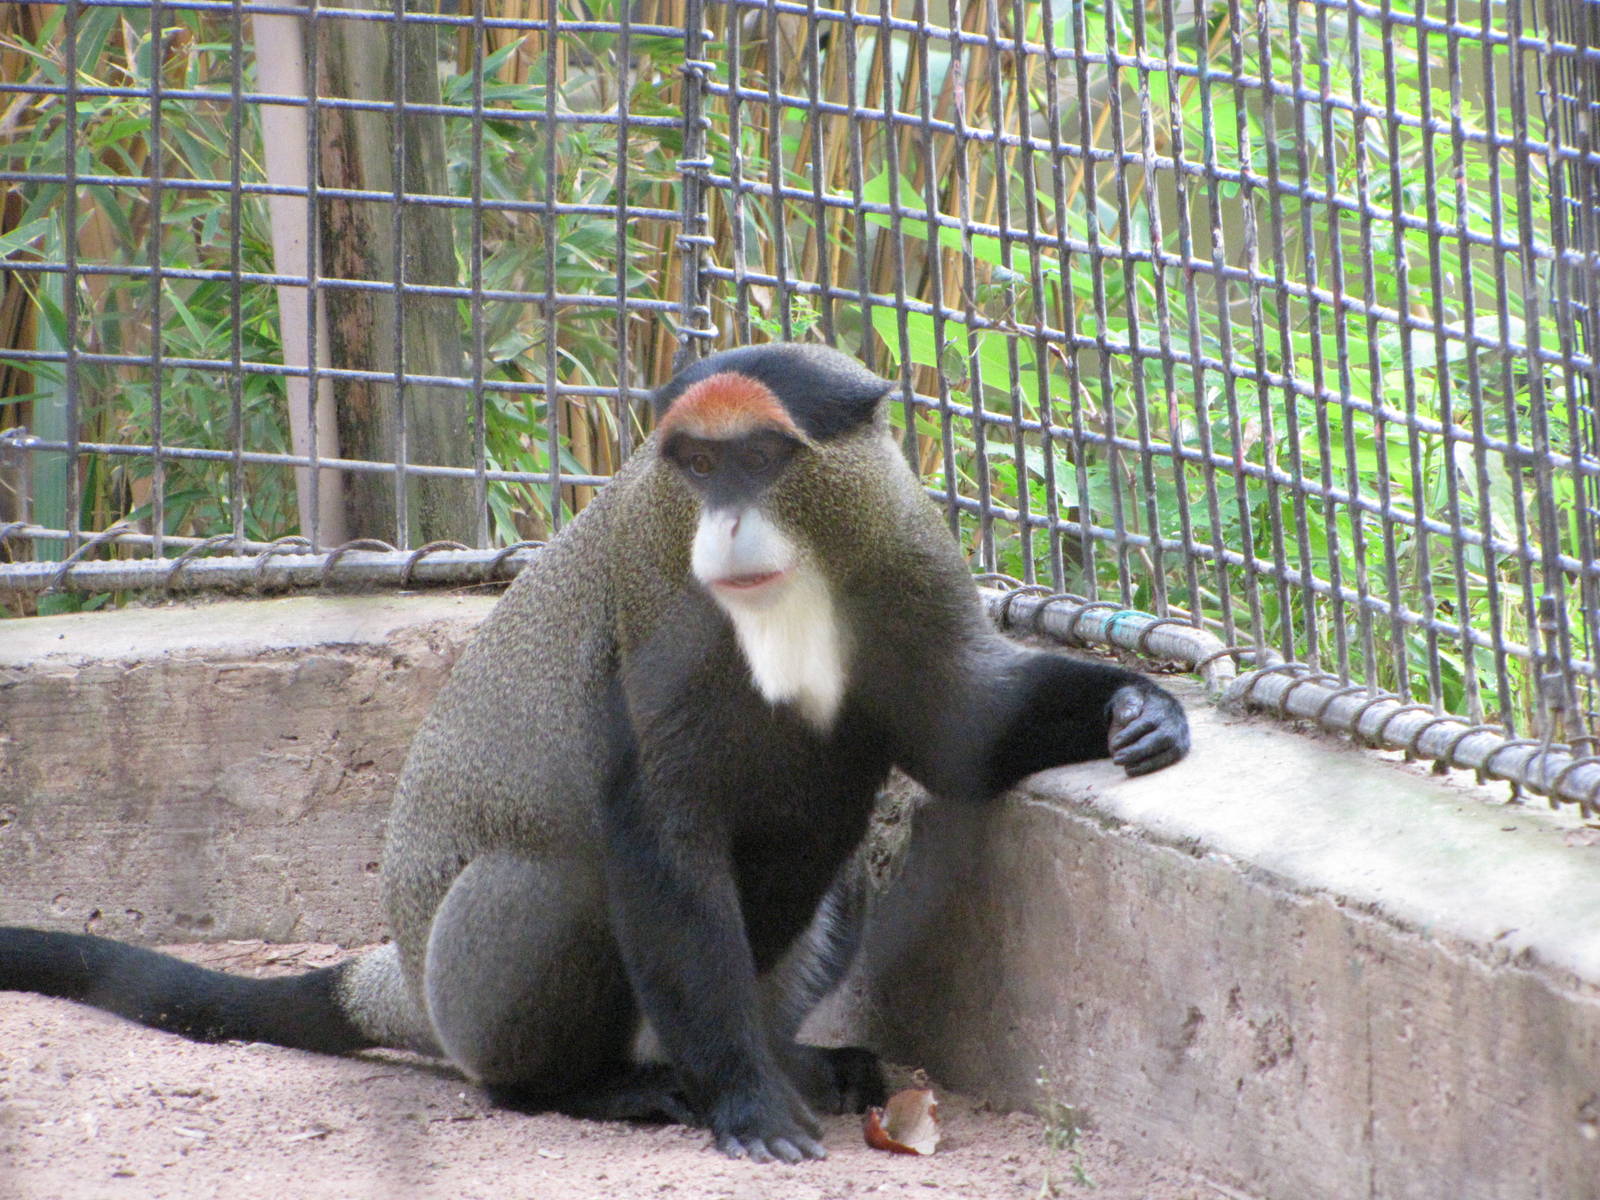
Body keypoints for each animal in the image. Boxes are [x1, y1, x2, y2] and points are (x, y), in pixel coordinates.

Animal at [0, 342, 1189, 1164]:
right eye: (694, 464)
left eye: (764, 458)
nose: (725, 523)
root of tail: (409, 982)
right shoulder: (646, 641)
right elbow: (658, 841)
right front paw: (748, 1106)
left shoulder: (906, 577)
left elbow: (965, 728)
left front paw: (1141, 711)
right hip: (491, 981)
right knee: (558, 893)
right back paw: (599, 1088)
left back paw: (801, 1061)